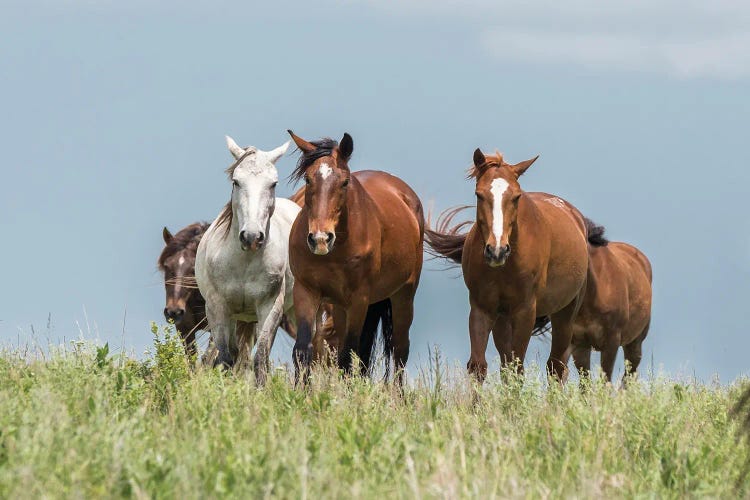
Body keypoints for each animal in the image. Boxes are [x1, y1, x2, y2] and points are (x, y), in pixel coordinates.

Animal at [288, 130, 426, 382]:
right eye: (308, 180)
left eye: (344, 182)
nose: (320, 238)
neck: (334, 253)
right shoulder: (305, 290)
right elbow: (303, 351)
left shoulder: (359, 299)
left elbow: (348, 354)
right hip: (339, 306)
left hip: (403, 295)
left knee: (400, 349)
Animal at [426, 148, 592, 382]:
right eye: (479, 194)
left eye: (516, 197)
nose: (497, 250)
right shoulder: (482, 308)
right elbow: (479, 366)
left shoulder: (525, 311)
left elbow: (518, 368)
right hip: (502, 320)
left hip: (565, 314)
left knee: (556, 367)